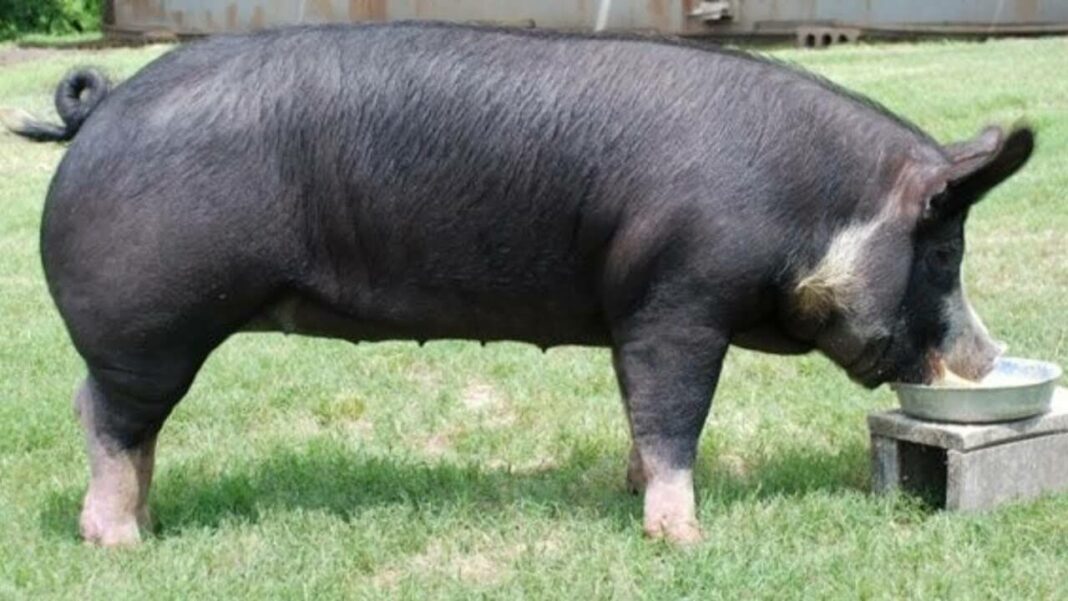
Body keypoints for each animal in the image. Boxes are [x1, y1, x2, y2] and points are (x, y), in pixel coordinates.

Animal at [6, 22, 1033, 547]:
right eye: (946, 253)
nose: (987, 357)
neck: (818, 207)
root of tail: (104, 104)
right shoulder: (681, 297)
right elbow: (674, 410)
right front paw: (684, 538)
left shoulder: (633, 307)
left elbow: (638, 408)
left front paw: (629, 492)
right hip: (149, 322)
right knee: (108, 419)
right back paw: (121, 539)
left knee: (112, 419)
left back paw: (149, 521)